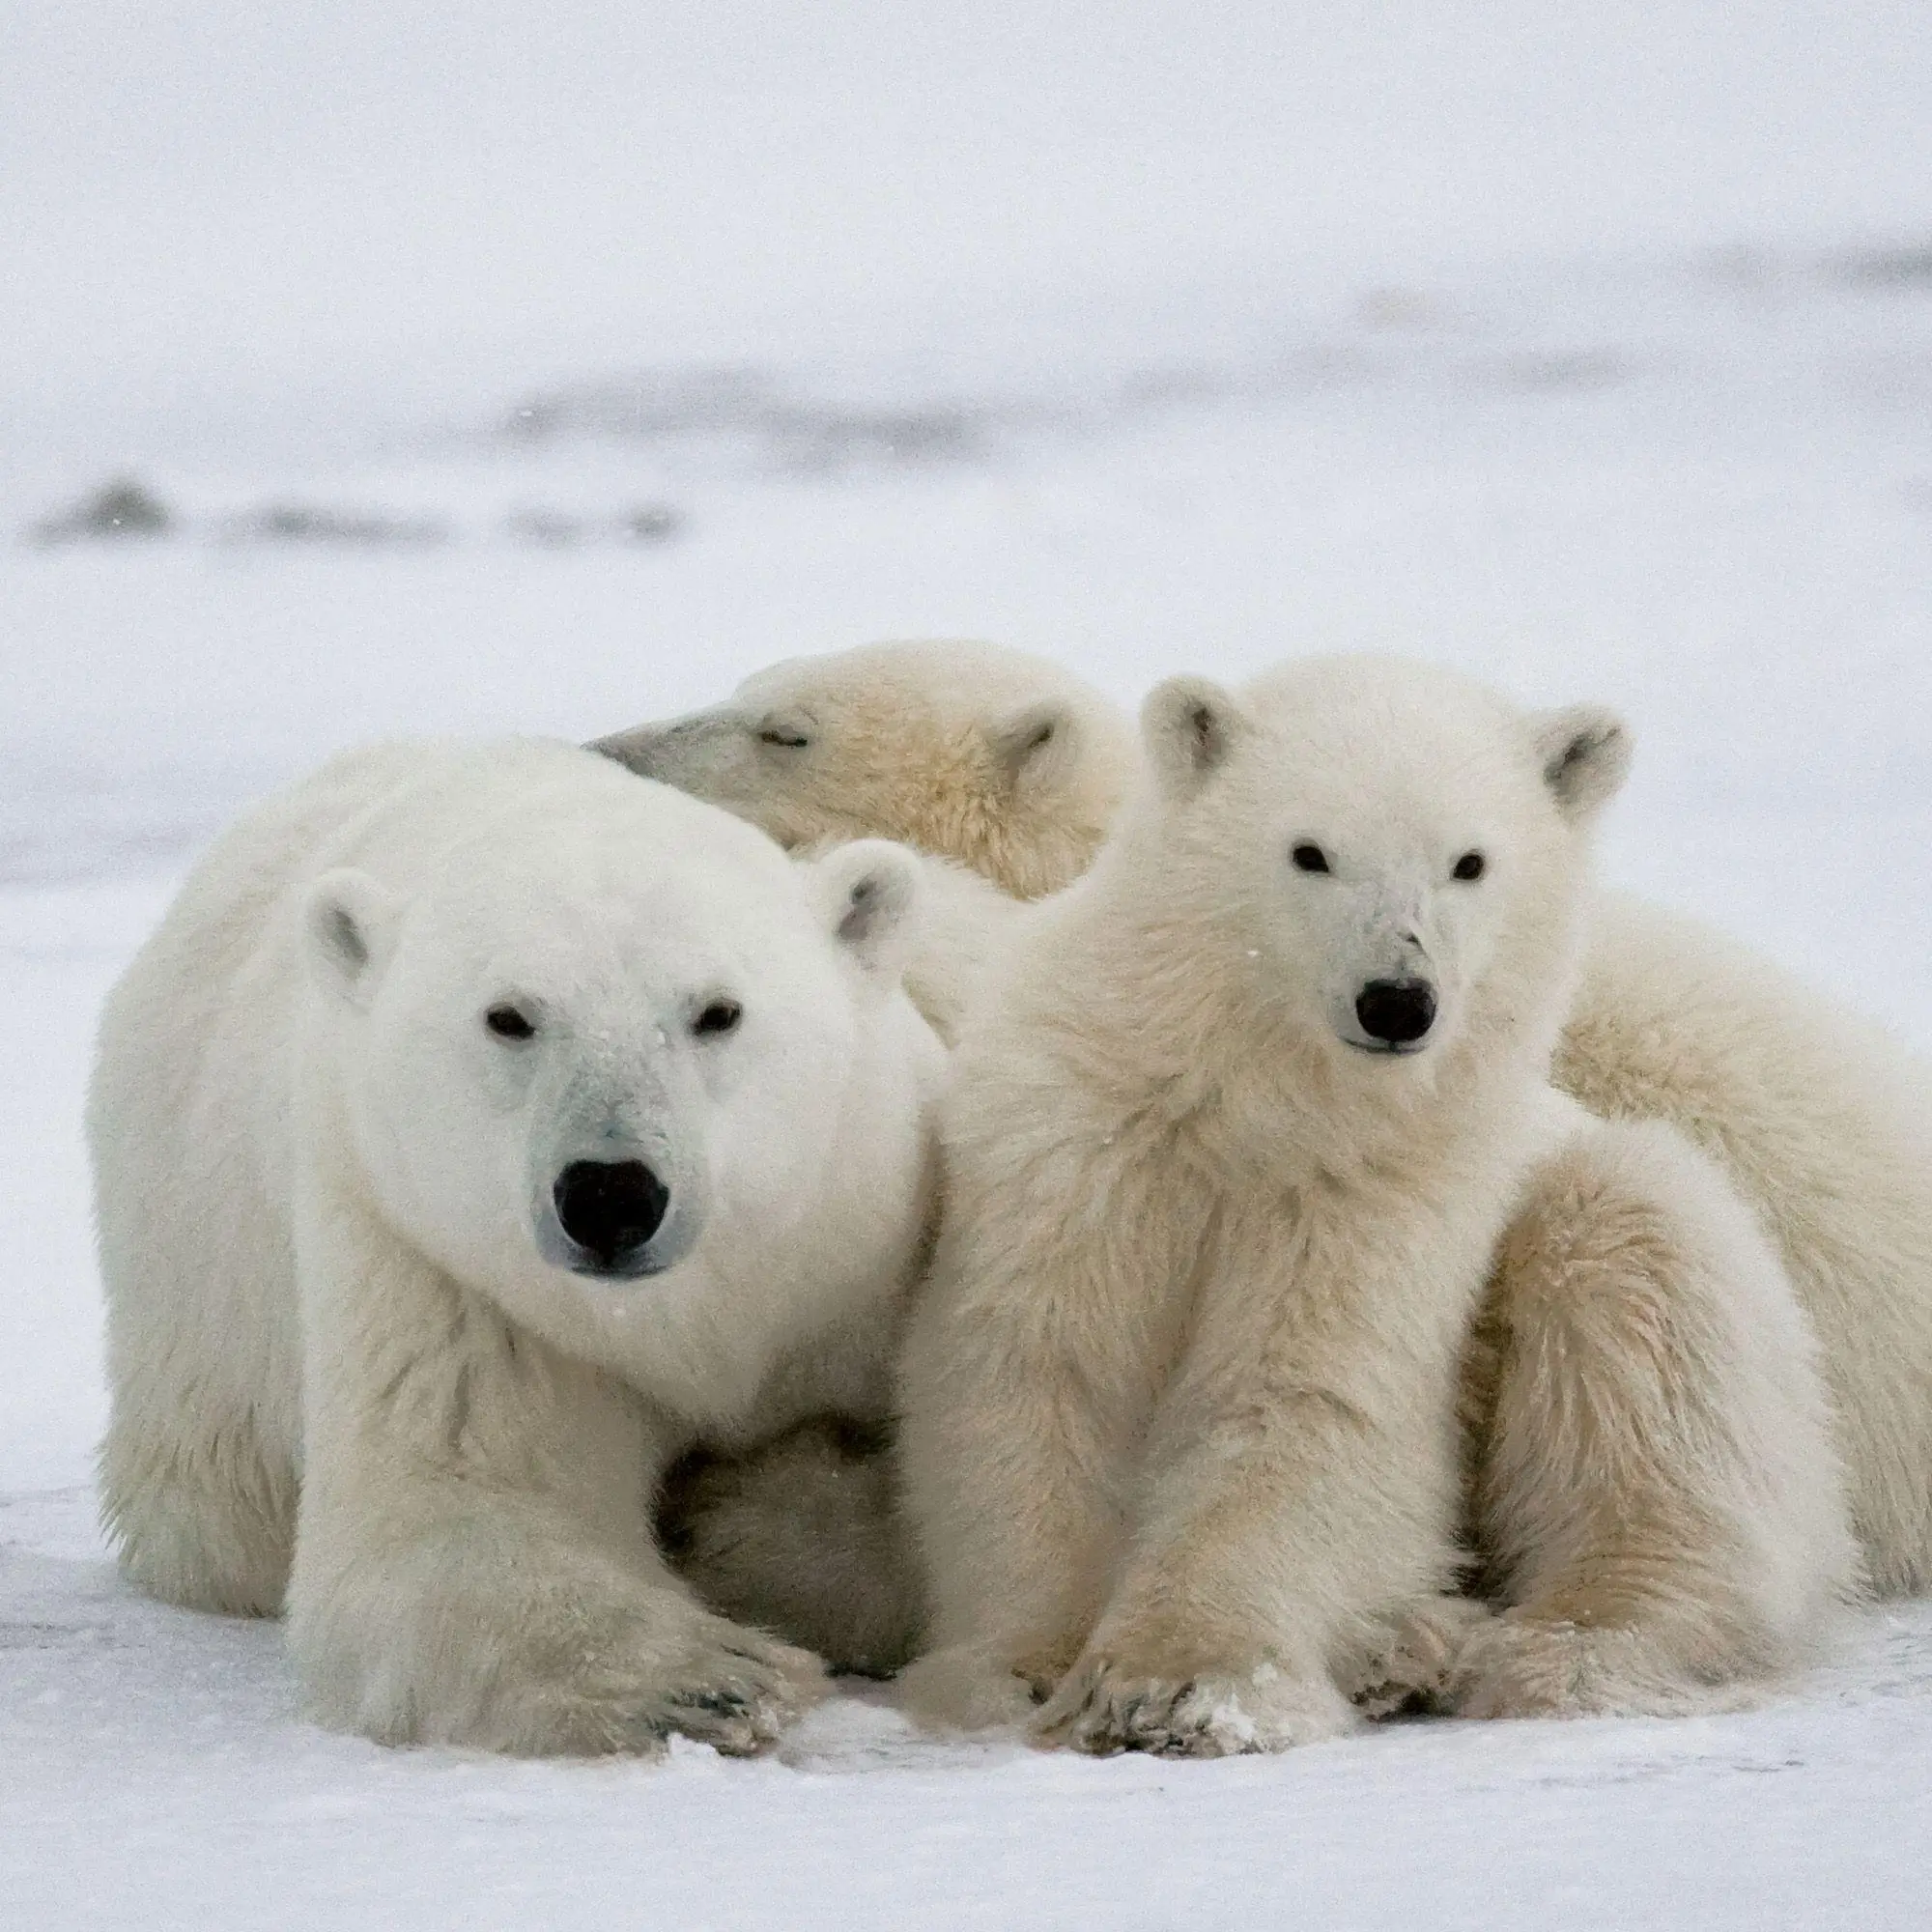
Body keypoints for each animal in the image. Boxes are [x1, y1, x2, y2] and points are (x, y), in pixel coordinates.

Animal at [89, 738, 946, 1755]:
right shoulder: (445, 1265)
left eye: (718, 1012)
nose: (611, 1195)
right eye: (510, 1016)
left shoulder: (863, 1244)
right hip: (193, 1265)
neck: (696, 1313)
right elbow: (452, 1512)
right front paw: (720, 1679)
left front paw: (741, 1527)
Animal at [895, 657, 1854, 1752]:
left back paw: (1531, 1647)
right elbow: (1037, 1364)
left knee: (1643, 1335)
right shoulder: (1079, 1138)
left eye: (1469, 862)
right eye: (1309, 851)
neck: (1254, 1101)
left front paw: (1179, 1684)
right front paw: (1022, 1668)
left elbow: (1314, 1397)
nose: (1396, 1000)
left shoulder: (1388, 1190)